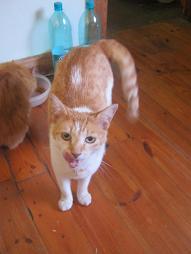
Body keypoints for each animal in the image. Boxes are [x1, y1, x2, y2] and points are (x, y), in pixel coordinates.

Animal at [48, 39, 138, 210]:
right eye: (66, 136)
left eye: (90, 139)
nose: (76, 153)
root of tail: (92, 45)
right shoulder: (58, 168)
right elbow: (64, 187)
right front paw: (66, 201)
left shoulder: (89, 170)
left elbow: (84, 184)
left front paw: (82, 196)